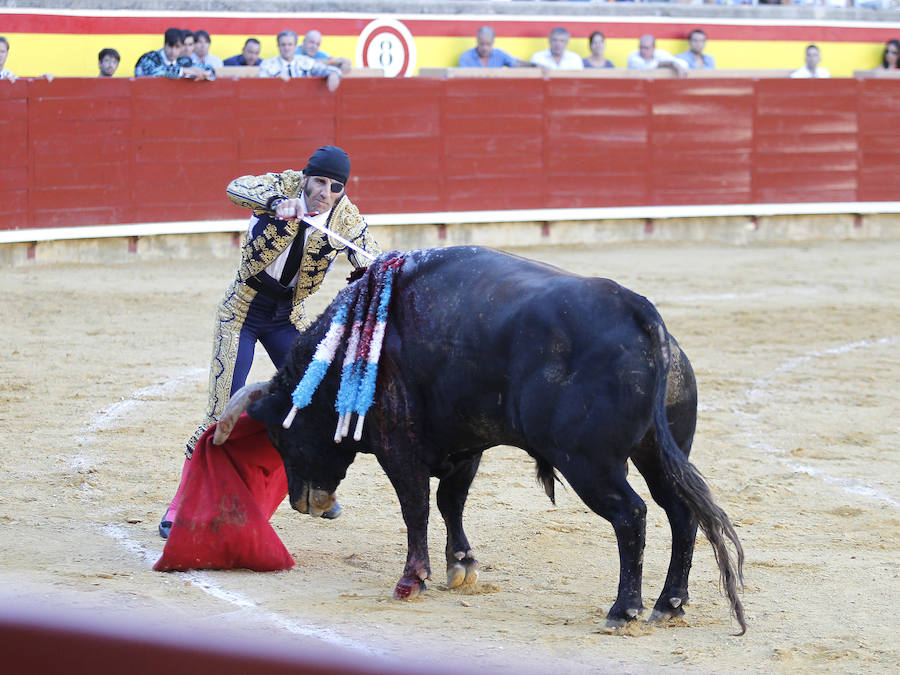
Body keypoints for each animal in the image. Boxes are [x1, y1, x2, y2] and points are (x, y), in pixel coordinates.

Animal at [216, 247, 744, 632]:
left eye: (282, 437)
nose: (304, 503)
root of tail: (640, 313)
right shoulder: (467, 443)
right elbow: (451, 502)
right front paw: (462, 566)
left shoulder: (397, 447)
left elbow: (416, 508)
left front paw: (411, 580)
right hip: (658, 453)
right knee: (680, 514)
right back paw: (669, 604)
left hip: (589, 464)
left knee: (631, 515)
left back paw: (624, 610)